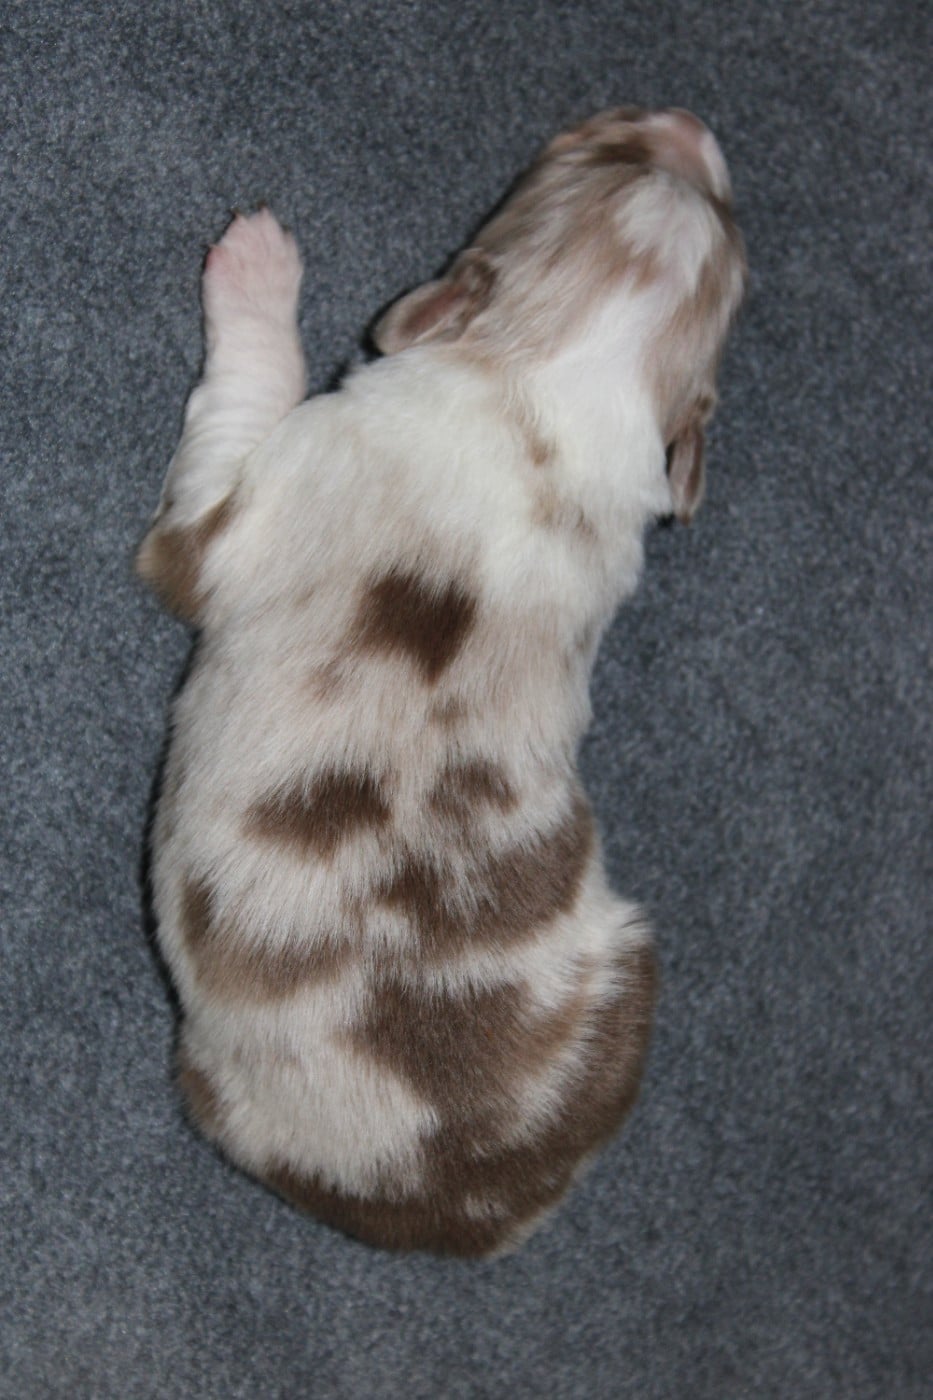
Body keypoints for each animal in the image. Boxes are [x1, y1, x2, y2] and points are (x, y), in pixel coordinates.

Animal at [138, 106, 746, 1256]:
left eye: (587, 138)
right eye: (736, 227)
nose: (684, 121)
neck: (550, 396)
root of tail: (469, 1212)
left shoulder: (225, 517)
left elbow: (240, 400)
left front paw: (258, 267)